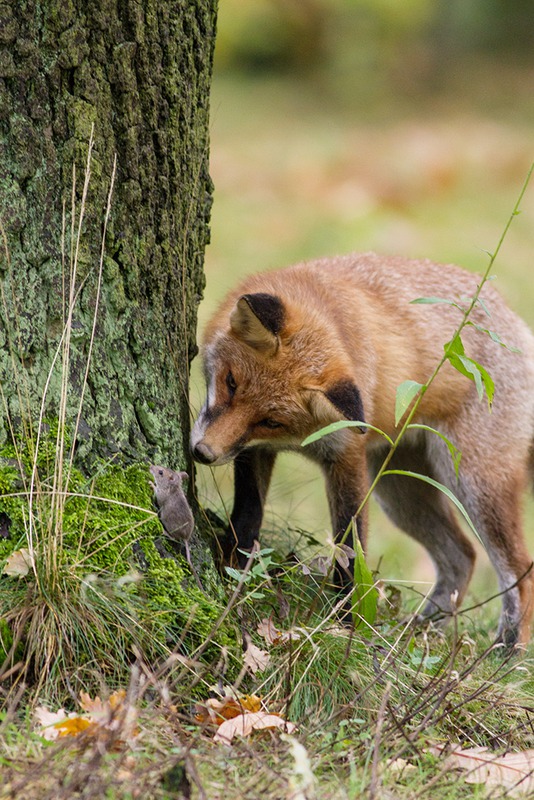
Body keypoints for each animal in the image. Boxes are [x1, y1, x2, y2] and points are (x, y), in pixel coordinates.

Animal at [192, 253, 534, 648]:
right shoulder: (254, 450)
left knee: (520, 573)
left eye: (270, 420)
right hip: (401, 493)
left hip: (473, 485)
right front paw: (234, 566)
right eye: (231, 383)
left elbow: (350, 550)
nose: (203, 452)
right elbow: (248, 514)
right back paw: (419, 631)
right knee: (461, 557)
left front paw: (345, 626)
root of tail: (517, 323)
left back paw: (507, 651)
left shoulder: (346, 456)